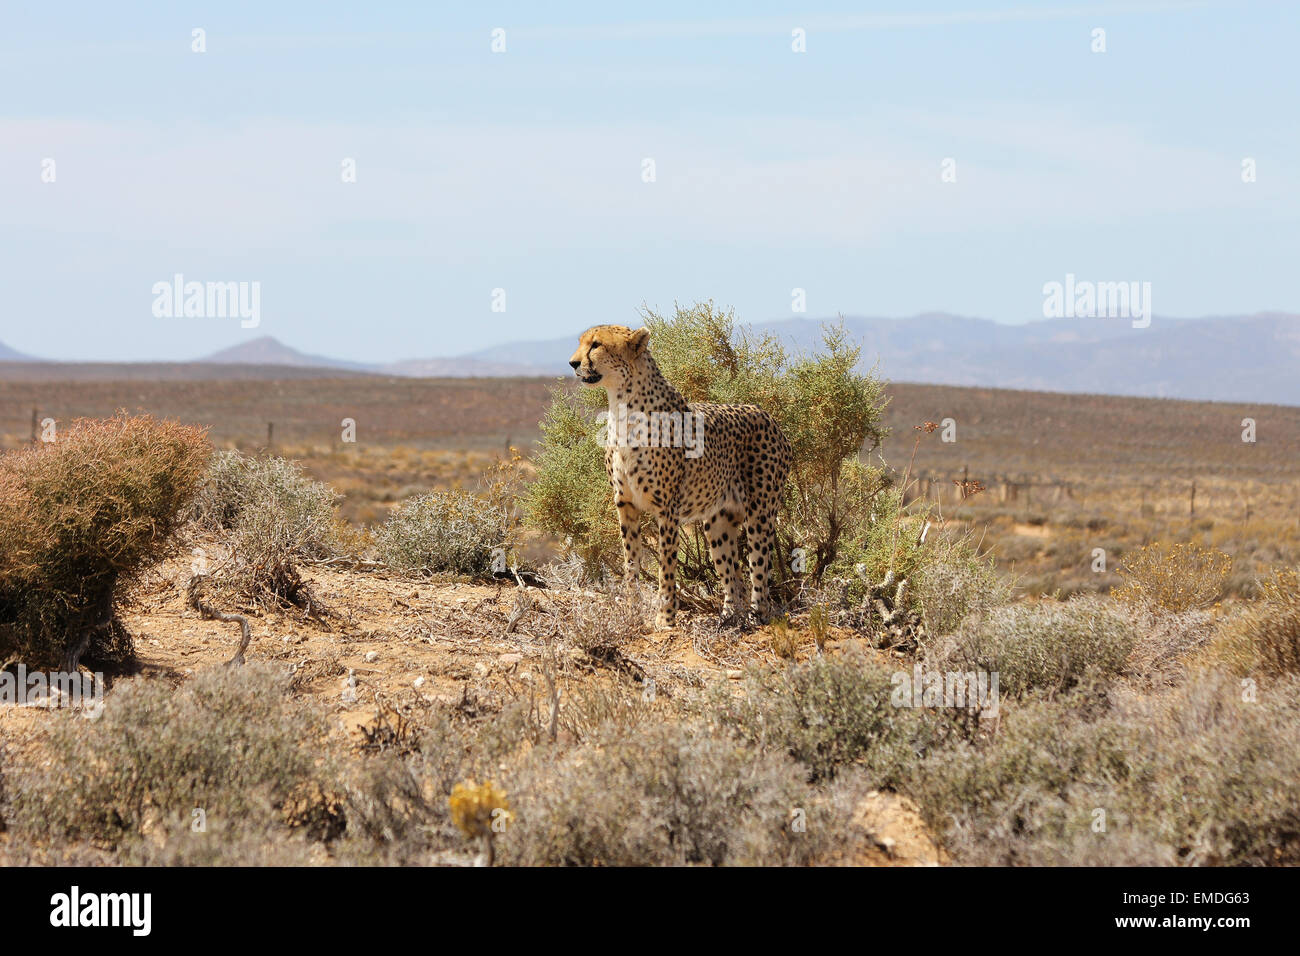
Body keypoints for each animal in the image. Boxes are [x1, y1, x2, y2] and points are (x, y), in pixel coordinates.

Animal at [569, 325, 790, 632]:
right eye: (581, 342)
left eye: (596, 345)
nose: (573, 363)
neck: (622, 405)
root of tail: (767, 415)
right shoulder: (625, 503)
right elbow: (631, 561)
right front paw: (632, 611)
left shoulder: (667, 508)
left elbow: (666, 565)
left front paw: (665, 618)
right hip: (718, 523)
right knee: (734, 577)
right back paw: (727, 619)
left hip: (760, 514)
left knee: (758, 571)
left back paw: (757, 617)